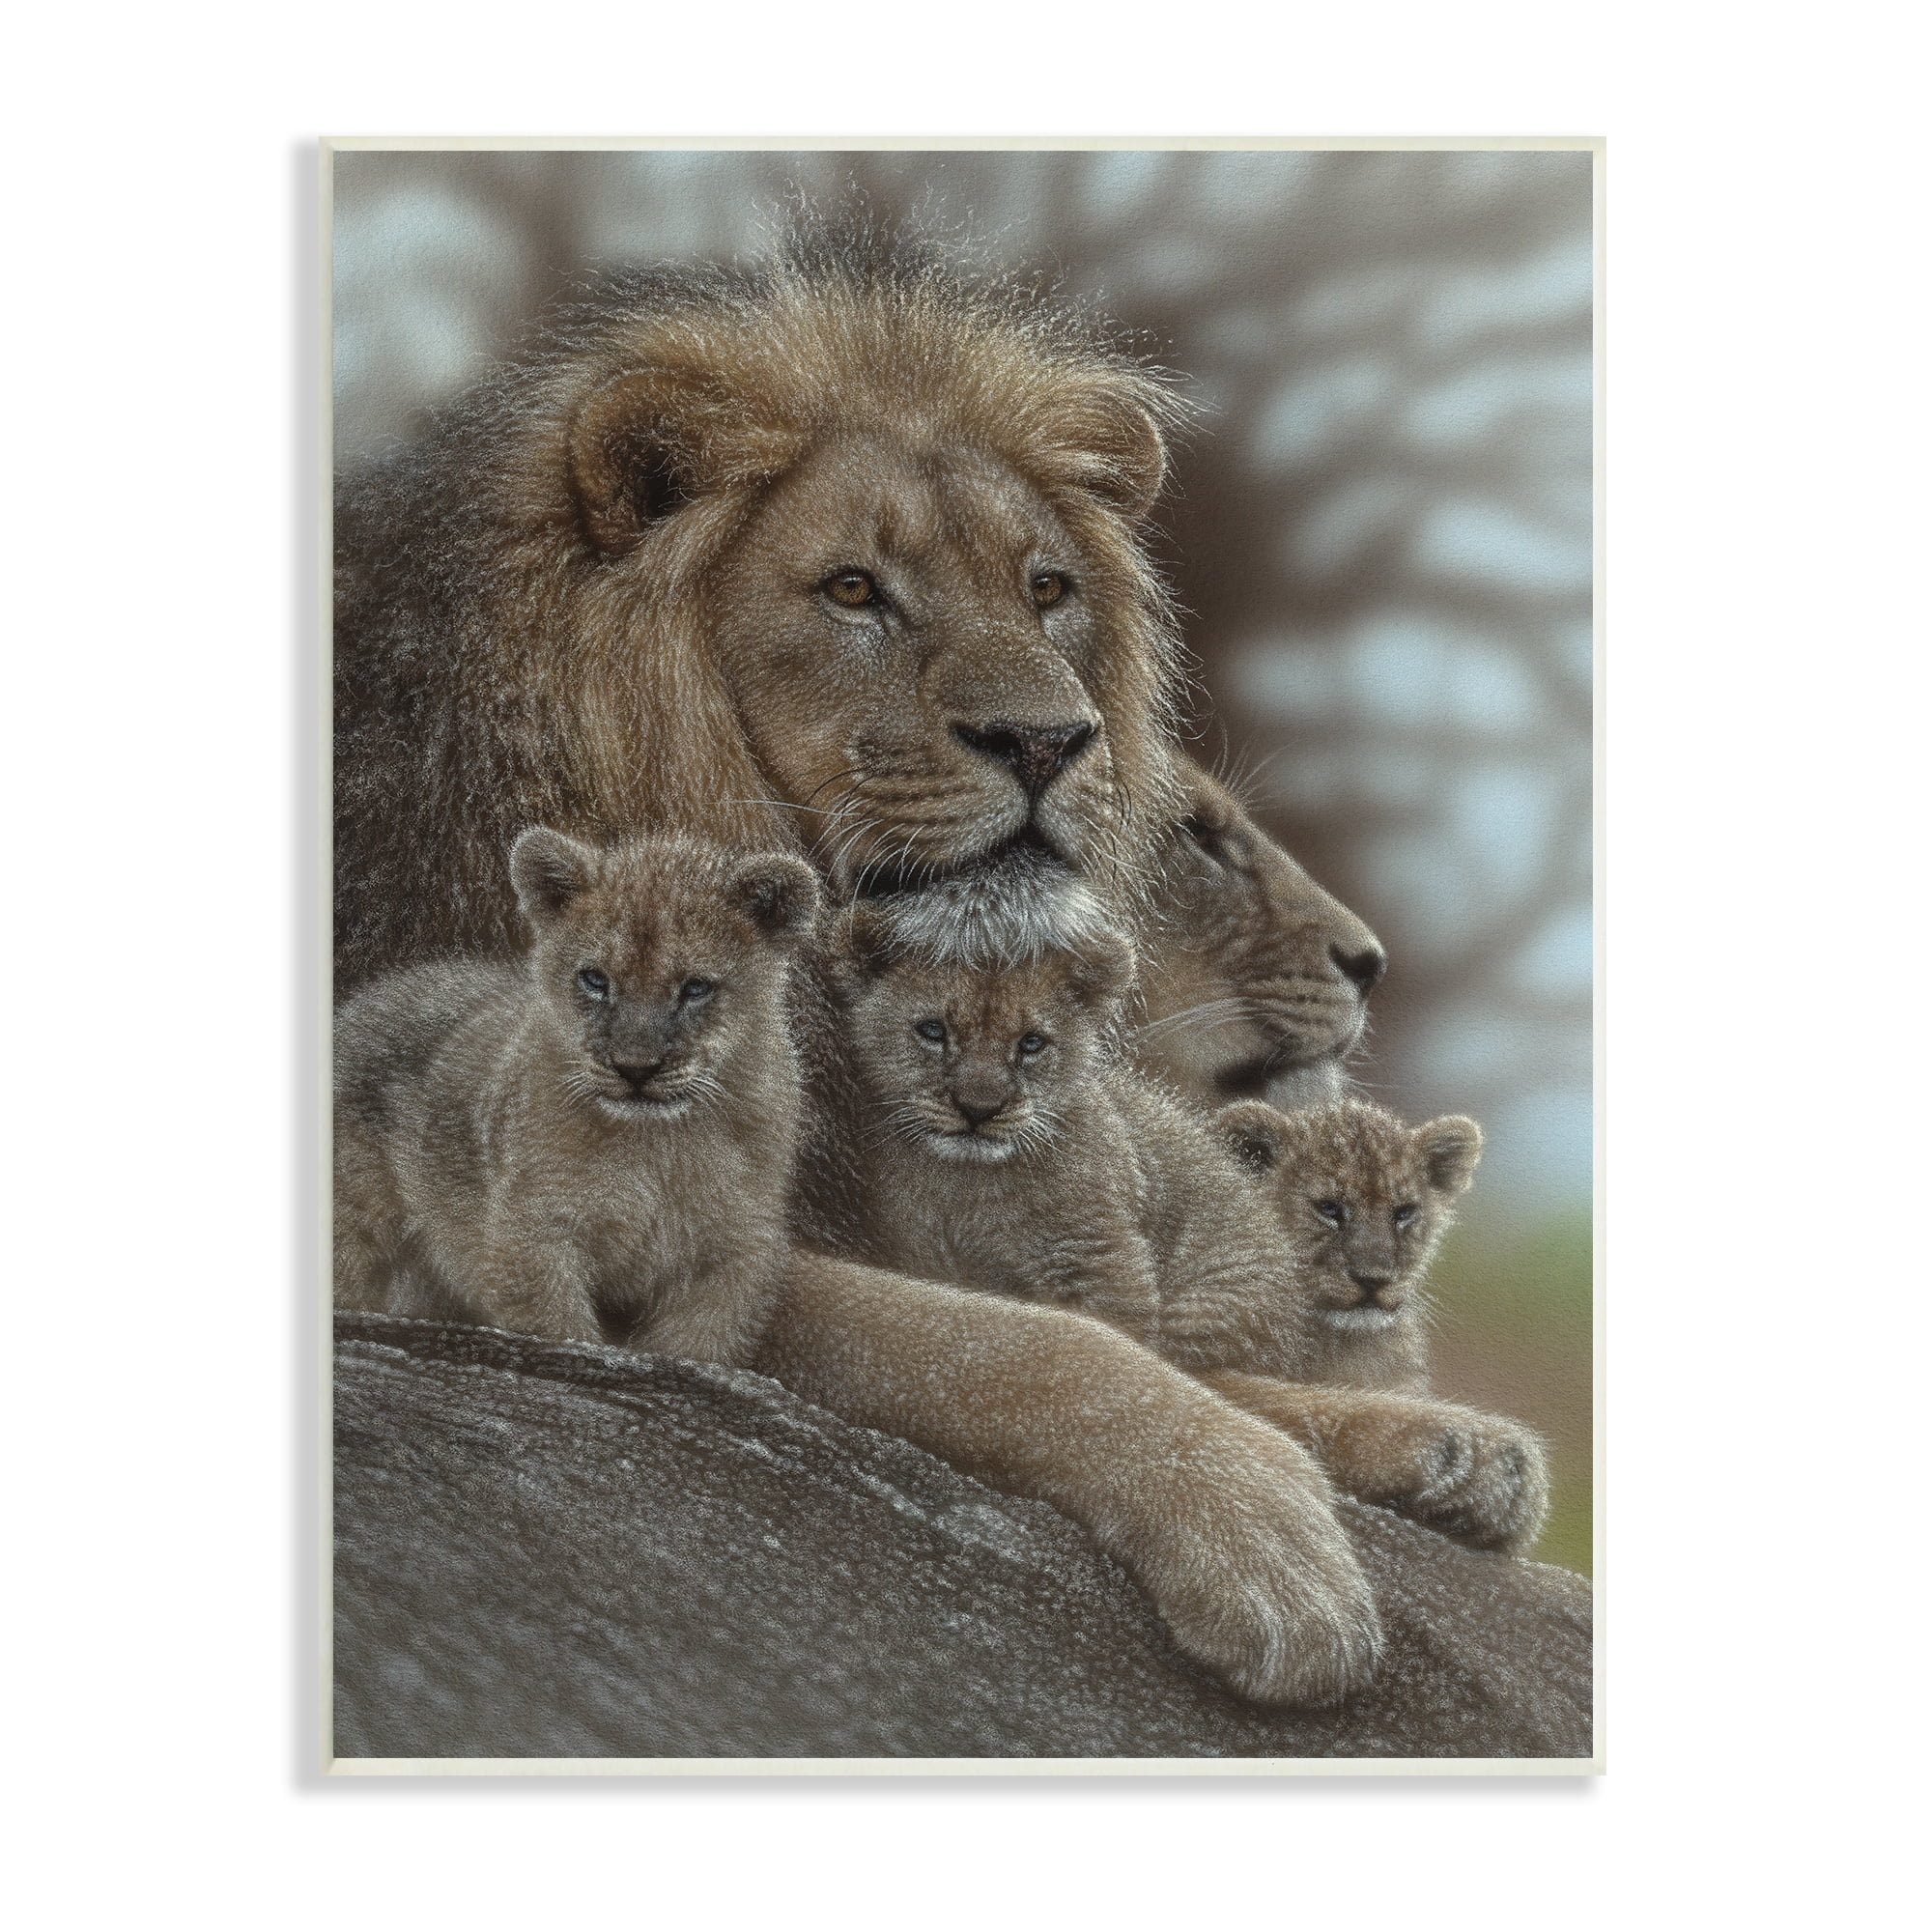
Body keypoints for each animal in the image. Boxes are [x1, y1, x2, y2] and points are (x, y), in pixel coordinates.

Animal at [332, 215, 1406, 1704]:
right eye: (853, 589)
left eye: (1047, 590)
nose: (1048, 739)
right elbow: (1010, 1346)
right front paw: (1265, 1535)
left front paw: (1446, 1457)